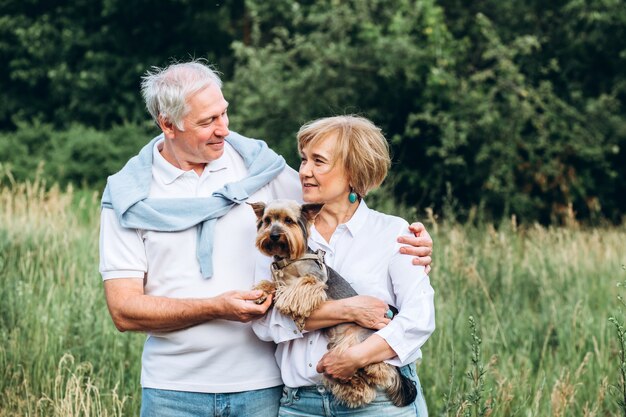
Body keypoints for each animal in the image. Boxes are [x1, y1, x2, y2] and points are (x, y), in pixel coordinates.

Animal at [247, 198, 414, 406]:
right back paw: (354, 390)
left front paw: (287, 301)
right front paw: (261, 292)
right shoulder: (279, 279)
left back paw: (373, 372)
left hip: (356, 340)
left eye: (288, 221)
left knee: (382, 368)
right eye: (268, 221)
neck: (288, 260)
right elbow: (272, 284)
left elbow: (300, 286)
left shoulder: (315, 280)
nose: (275, 235)